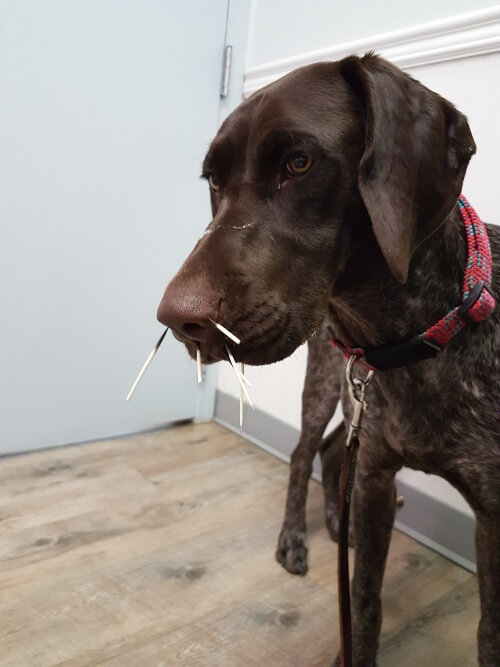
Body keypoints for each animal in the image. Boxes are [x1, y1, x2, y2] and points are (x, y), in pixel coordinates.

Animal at [157, 54, 500, 664]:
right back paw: (296, 537)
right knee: (303, 454)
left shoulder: (488, 515)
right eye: (214, 180)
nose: (178, 321)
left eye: (300, 162)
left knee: (331, 450)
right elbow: (363, 605)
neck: (416, 339)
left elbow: (486, 631)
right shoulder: (377, 476)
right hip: (326, 385)